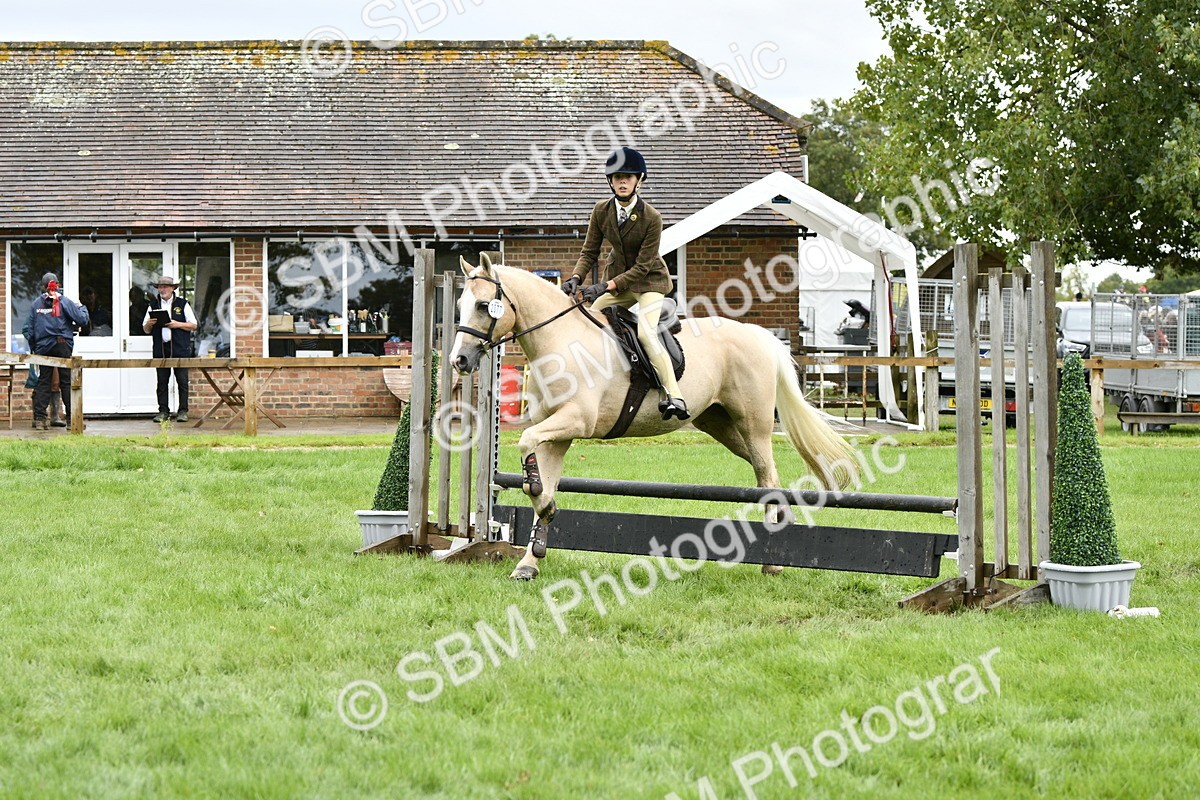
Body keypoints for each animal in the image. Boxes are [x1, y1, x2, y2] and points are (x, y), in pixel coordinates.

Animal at [449, 254, 855, 581]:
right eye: (460, 305)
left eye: (484, 305)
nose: (460, 361)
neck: (559, 342)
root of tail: (760, 335)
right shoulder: (558, 435)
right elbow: (543, 485)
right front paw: (529, 561)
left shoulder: (576, 421)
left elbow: (527, 446)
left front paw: (538, 499)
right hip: (722, 426)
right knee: (764, 475)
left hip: (753, 425)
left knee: (768, 476)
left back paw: (773, 562)